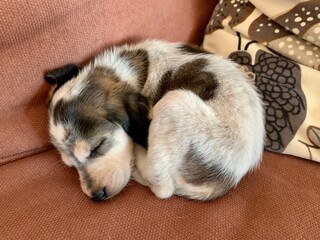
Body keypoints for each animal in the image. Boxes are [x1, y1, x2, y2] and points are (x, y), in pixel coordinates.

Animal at [45, 40, 264, 202]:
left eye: (97, 147)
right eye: (70, 165)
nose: (96, 196)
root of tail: (225, 181)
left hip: (174, 101)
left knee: (162, 188)